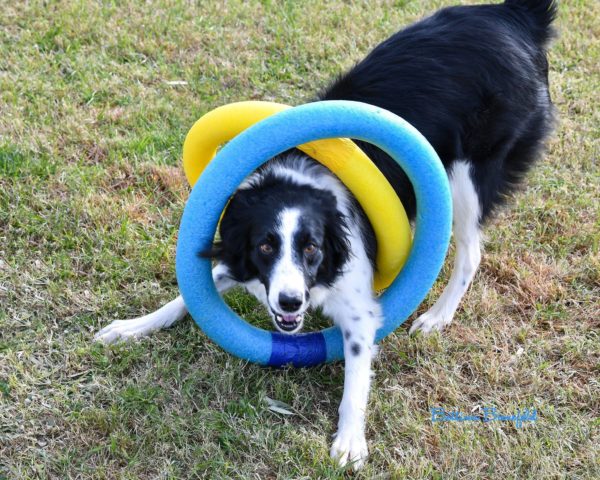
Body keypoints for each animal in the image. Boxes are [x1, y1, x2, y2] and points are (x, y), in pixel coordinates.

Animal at [96, 0, 556, 470]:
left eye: (312, 248)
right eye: (266, 246)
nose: (289, 302)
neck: (296, 184)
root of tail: (512, 15)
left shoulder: (357, 308)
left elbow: (355, 377)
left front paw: (350, 441)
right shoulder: (242, 260)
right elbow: (185, 297)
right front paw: (131, 328)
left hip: (468, 176)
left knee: (470, 252)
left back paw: (436, 317)